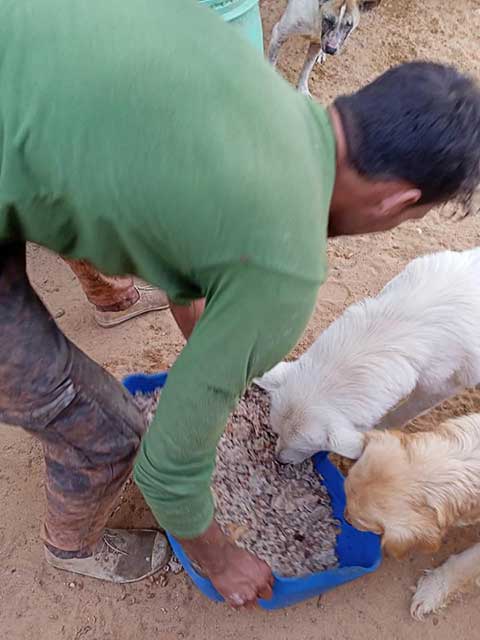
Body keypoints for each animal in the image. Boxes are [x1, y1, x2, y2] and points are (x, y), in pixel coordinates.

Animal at [256, 248, 480, 462]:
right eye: (277, 433)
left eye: (306, 448)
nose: (279, 460)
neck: (396, 327)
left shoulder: (441, 387)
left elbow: (404, 412)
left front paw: (380, 432)